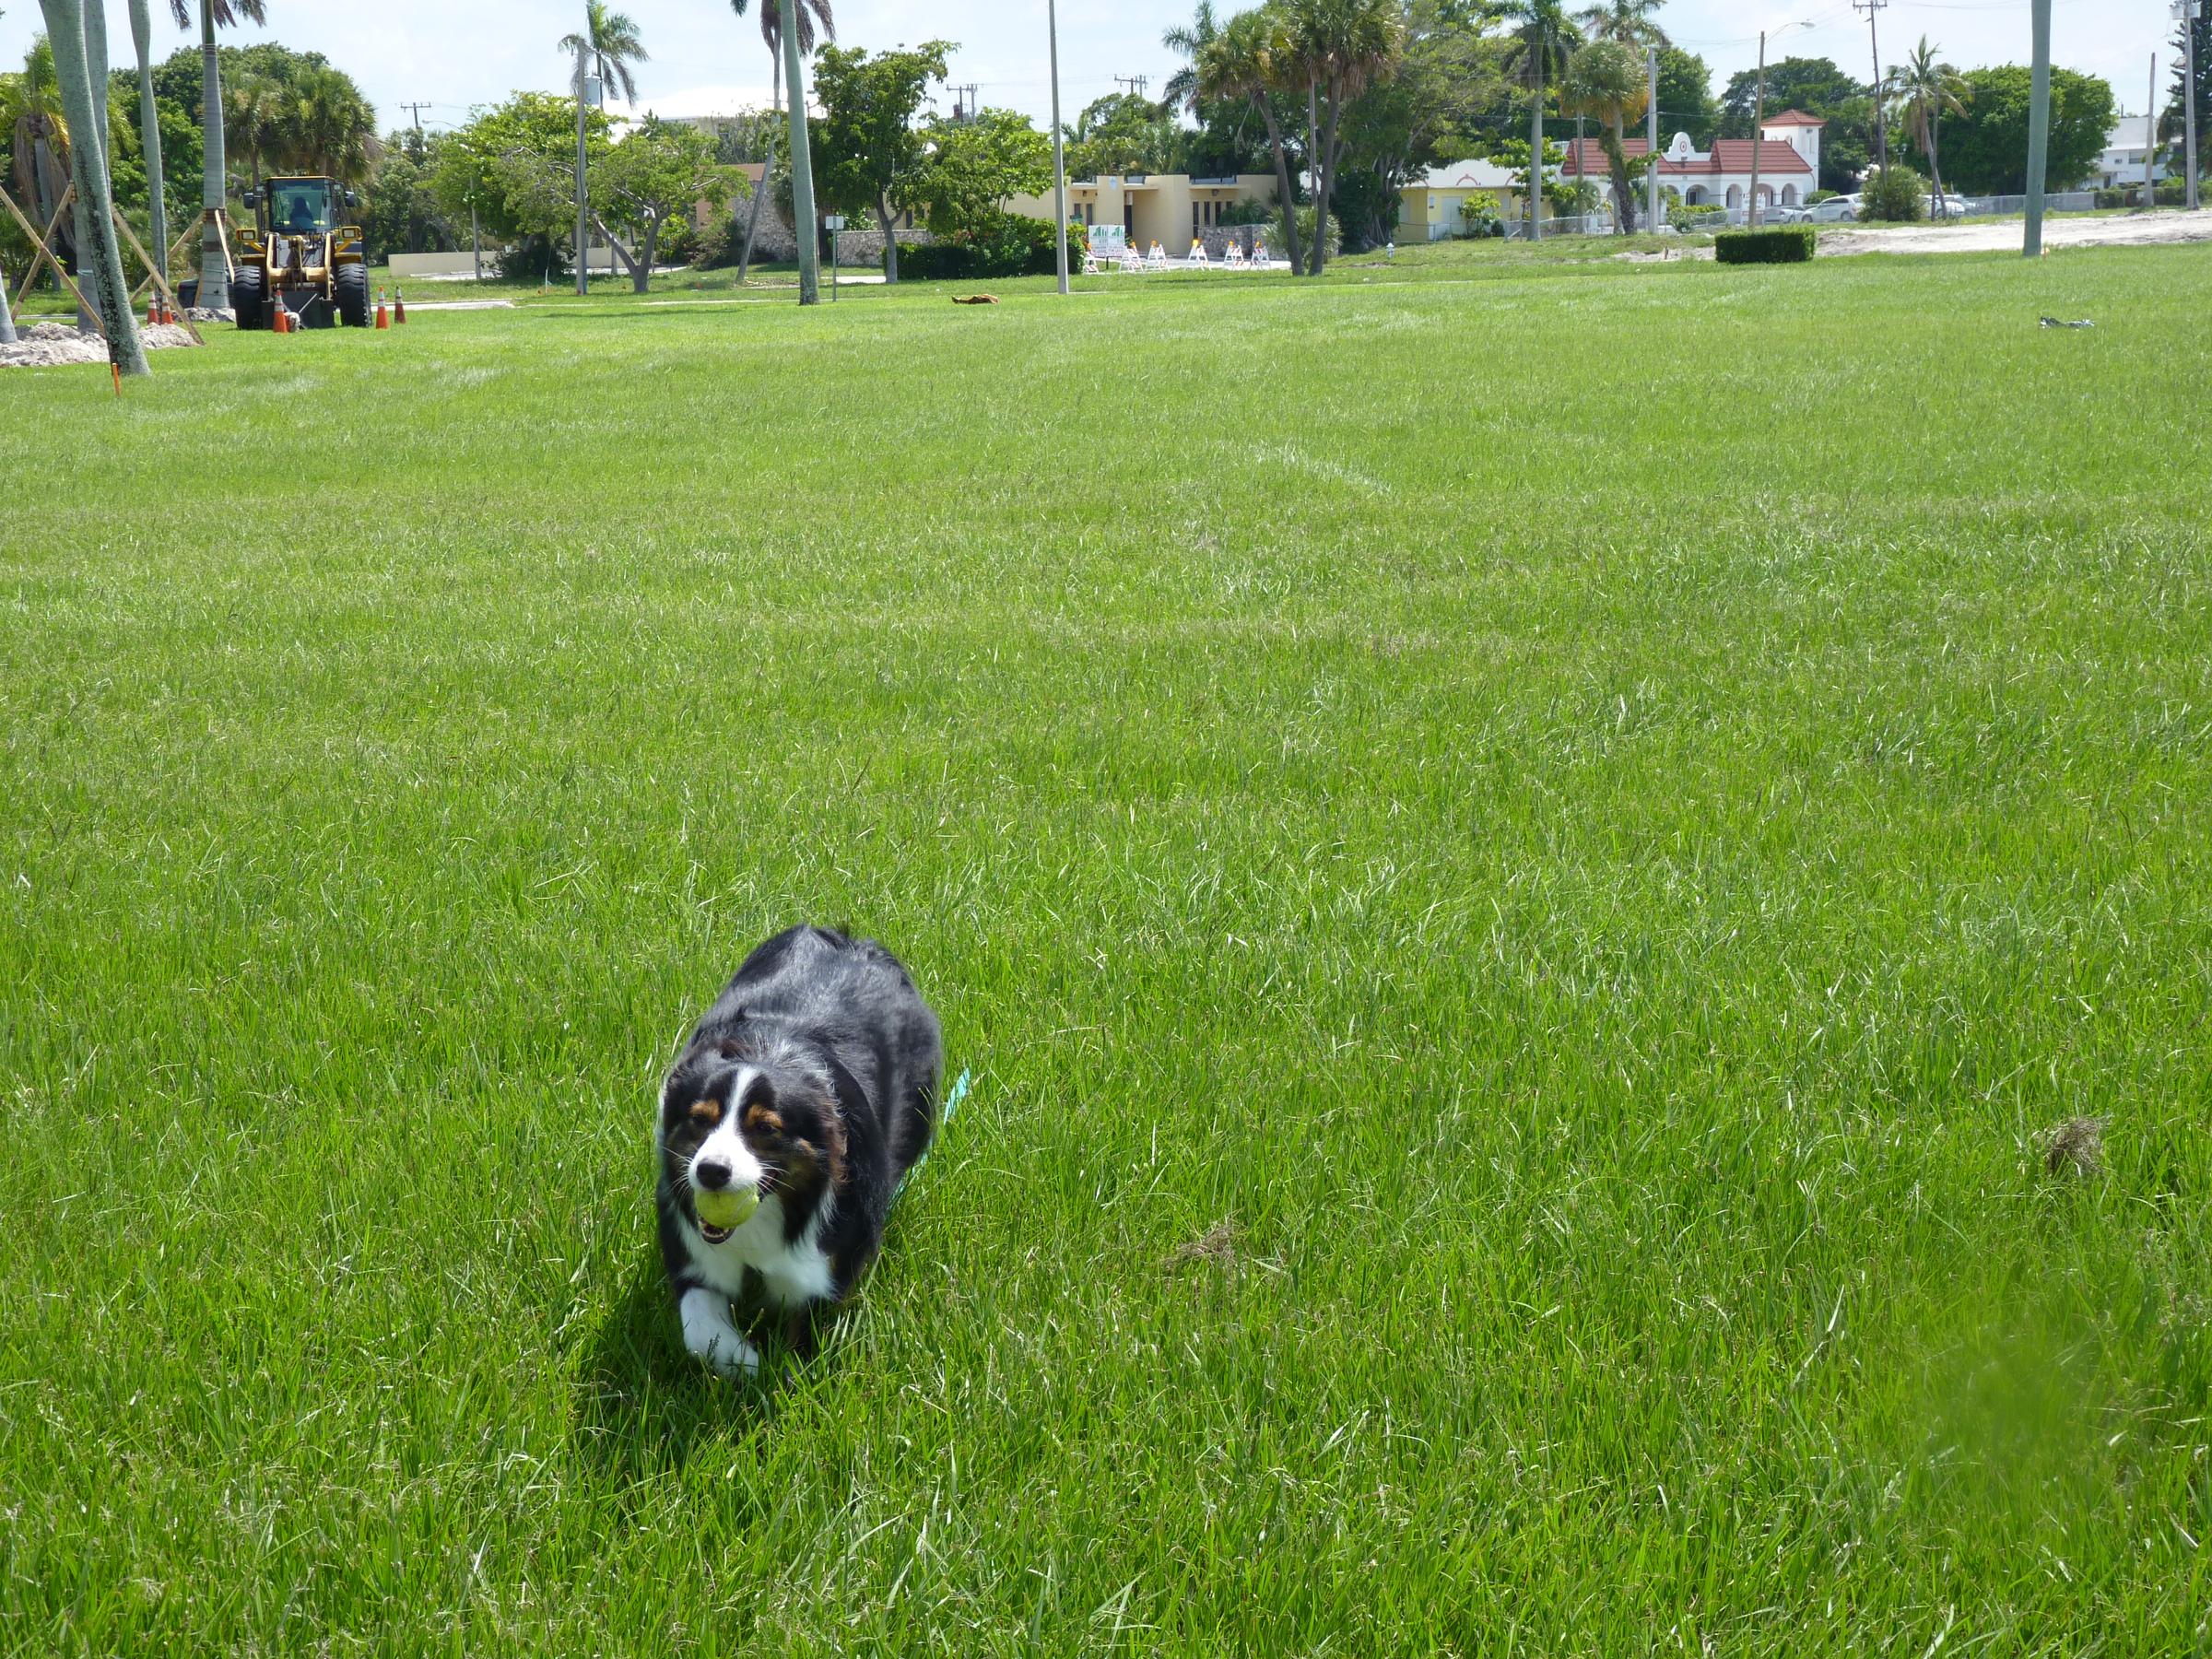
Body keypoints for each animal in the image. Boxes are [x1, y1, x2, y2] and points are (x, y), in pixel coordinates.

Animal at [645, 929, 942, 1380]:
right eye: (699, 1119)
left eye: (766, 1128)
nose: (711, 1172)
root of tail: (852, 940)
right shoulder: (693, 1247)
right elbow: (699, 1330)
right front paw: (742, 1359)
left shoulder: (821, 1275)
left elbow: (801, 1352)